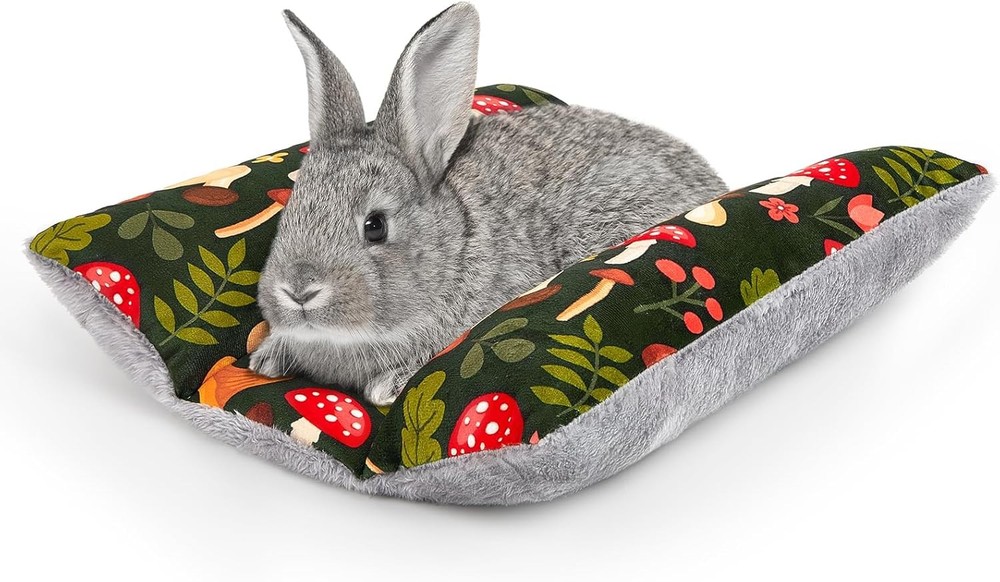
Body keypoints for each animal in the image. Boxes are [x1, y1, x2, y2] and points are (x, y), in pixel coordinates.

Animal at [249, 3, 726, 405]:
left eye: (375, 225)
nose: (299, 290)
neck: (452, 245)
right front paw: (267, 357)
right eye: (291, 211)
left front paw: (388, 385)